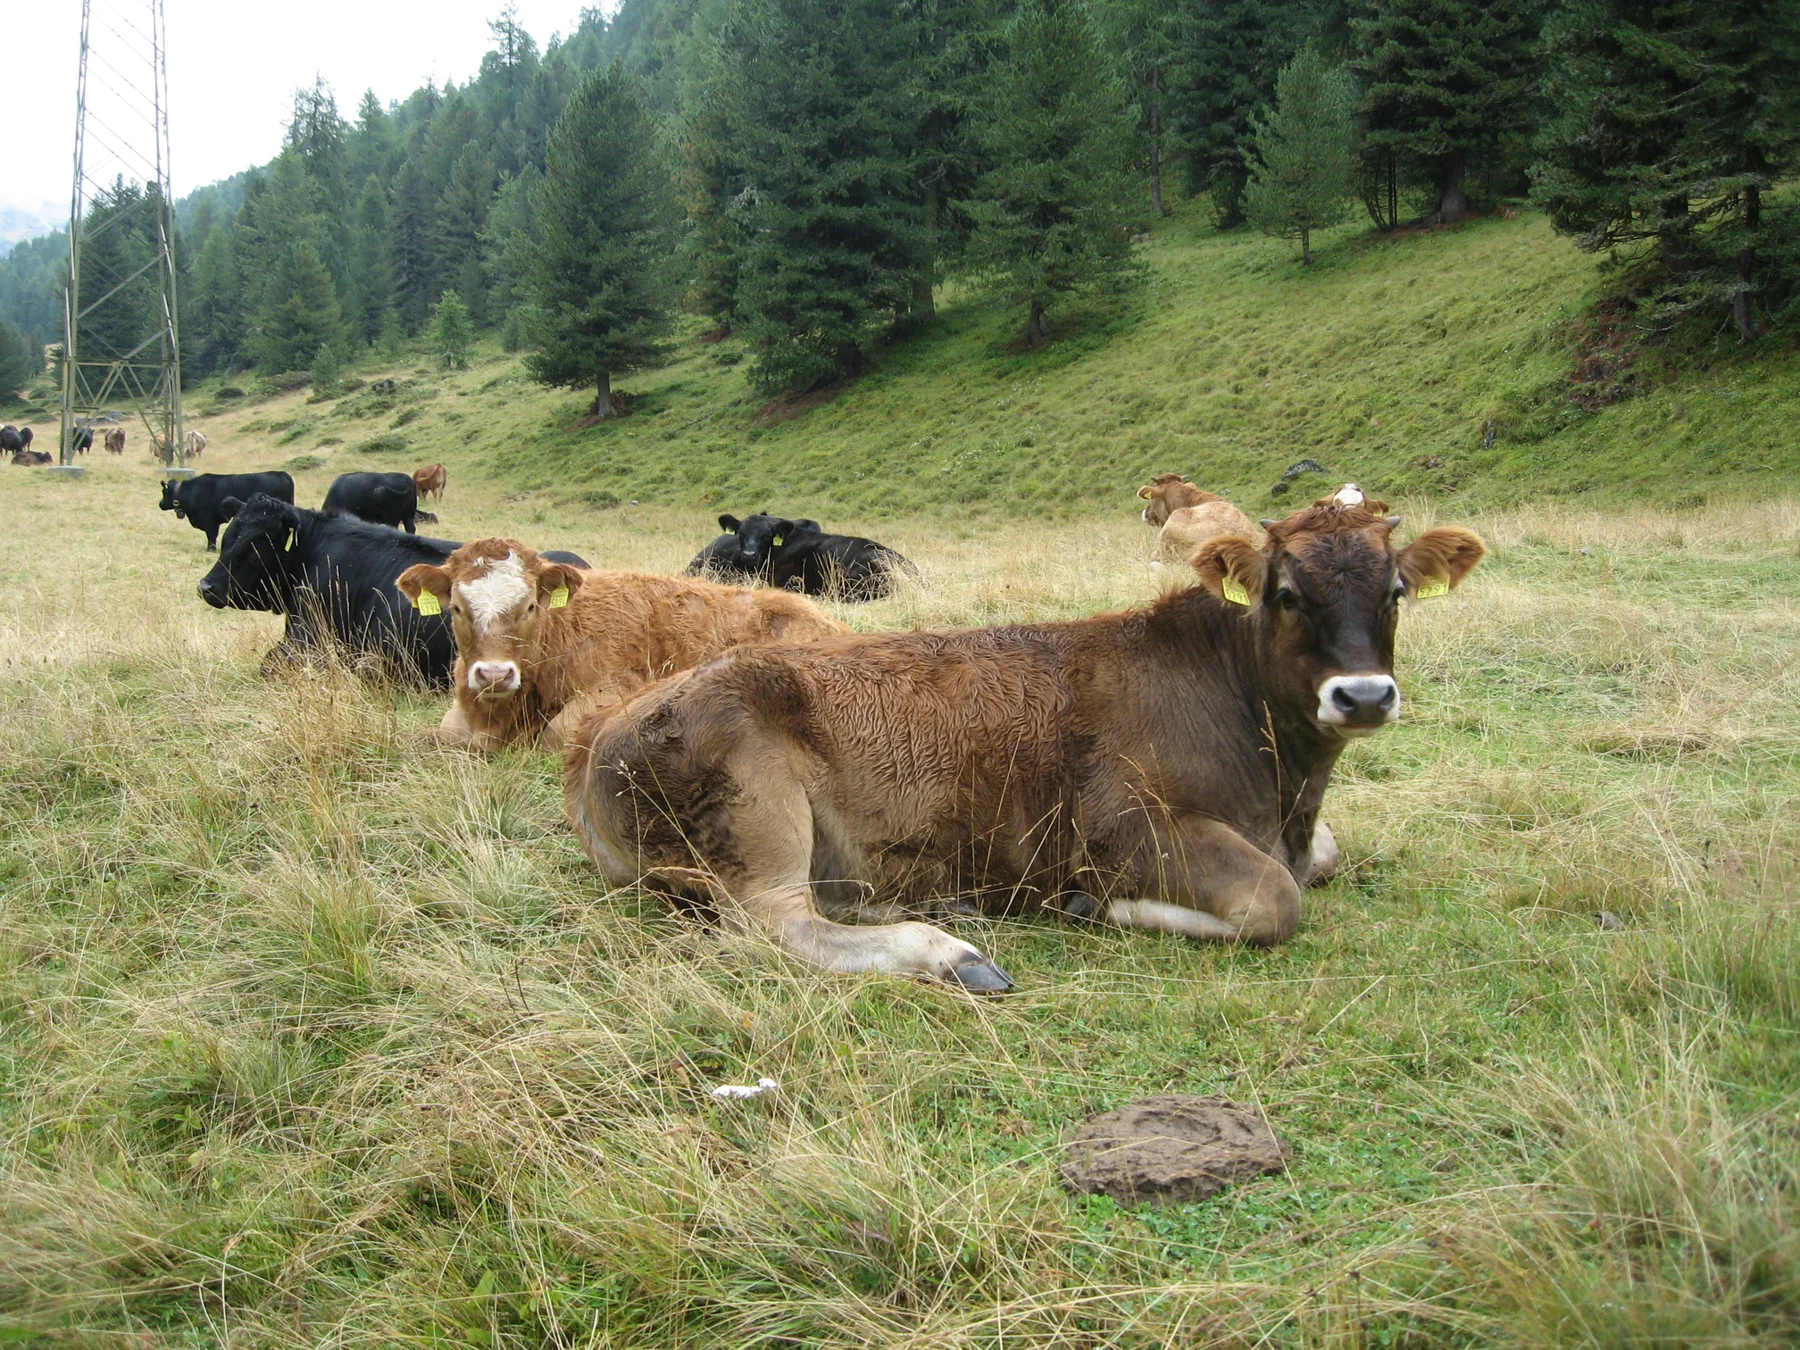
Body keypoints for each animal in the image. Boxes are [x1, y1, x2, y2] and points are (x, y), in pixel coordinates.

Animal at [159, 471, 296, 550]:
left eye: (164, 492)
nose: (160, 504)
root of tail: (281, 473)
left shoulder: (209, 521)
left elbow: (211, 535)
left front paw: (210, 549)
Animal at [397, 538, 850, 752]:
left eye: (529, 606)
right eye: (457, 607)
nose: (494, 674)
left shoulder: (617, 690)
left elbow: (557, 734)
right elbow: (450, 731)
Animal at [563, 499, 1486, 991]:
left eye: (1396, 591)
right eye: (1287, 593)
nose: (1362, 695)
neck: (1283, 786)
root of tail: (597, 742)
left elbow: (1323, 857)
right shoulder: (1122, 826)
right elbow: (1276, 899)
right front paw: (1096, 907)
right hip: (755, 803)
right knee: (775, 925)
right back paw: (950, 953)